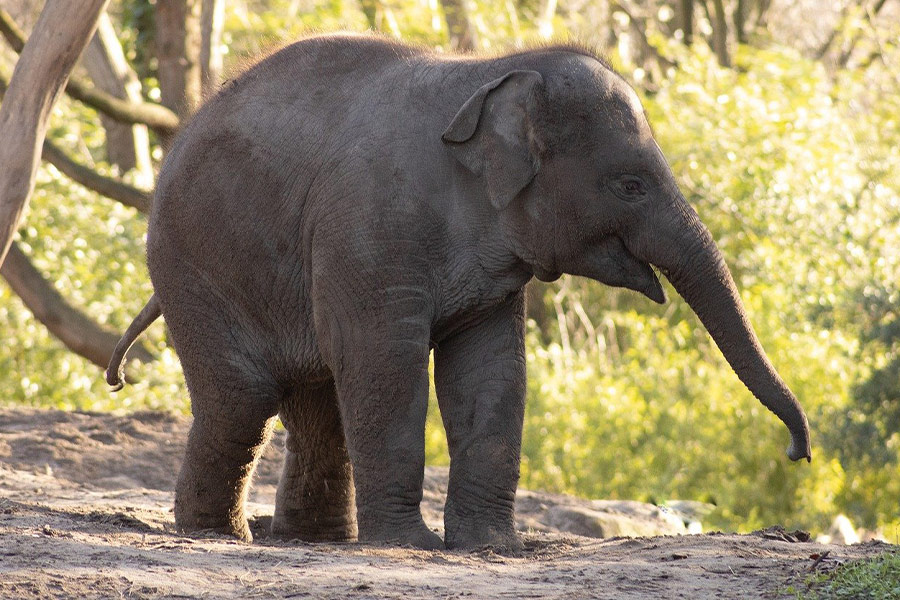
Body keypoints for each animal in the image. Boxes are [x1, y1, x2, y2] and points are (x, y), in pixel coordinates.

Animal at [107, 34, 811, 551]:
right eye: (630, 185)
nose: (797, 451)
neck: (491, 72)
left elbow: (490, 372)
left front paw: (493, 547)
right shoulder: (371, 226)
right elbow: (387, 363)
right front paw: (412, 546)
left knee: (318, 400)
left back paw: (314, 540)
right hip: (191, 263)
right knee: (245, 397)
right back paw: (217, 535)